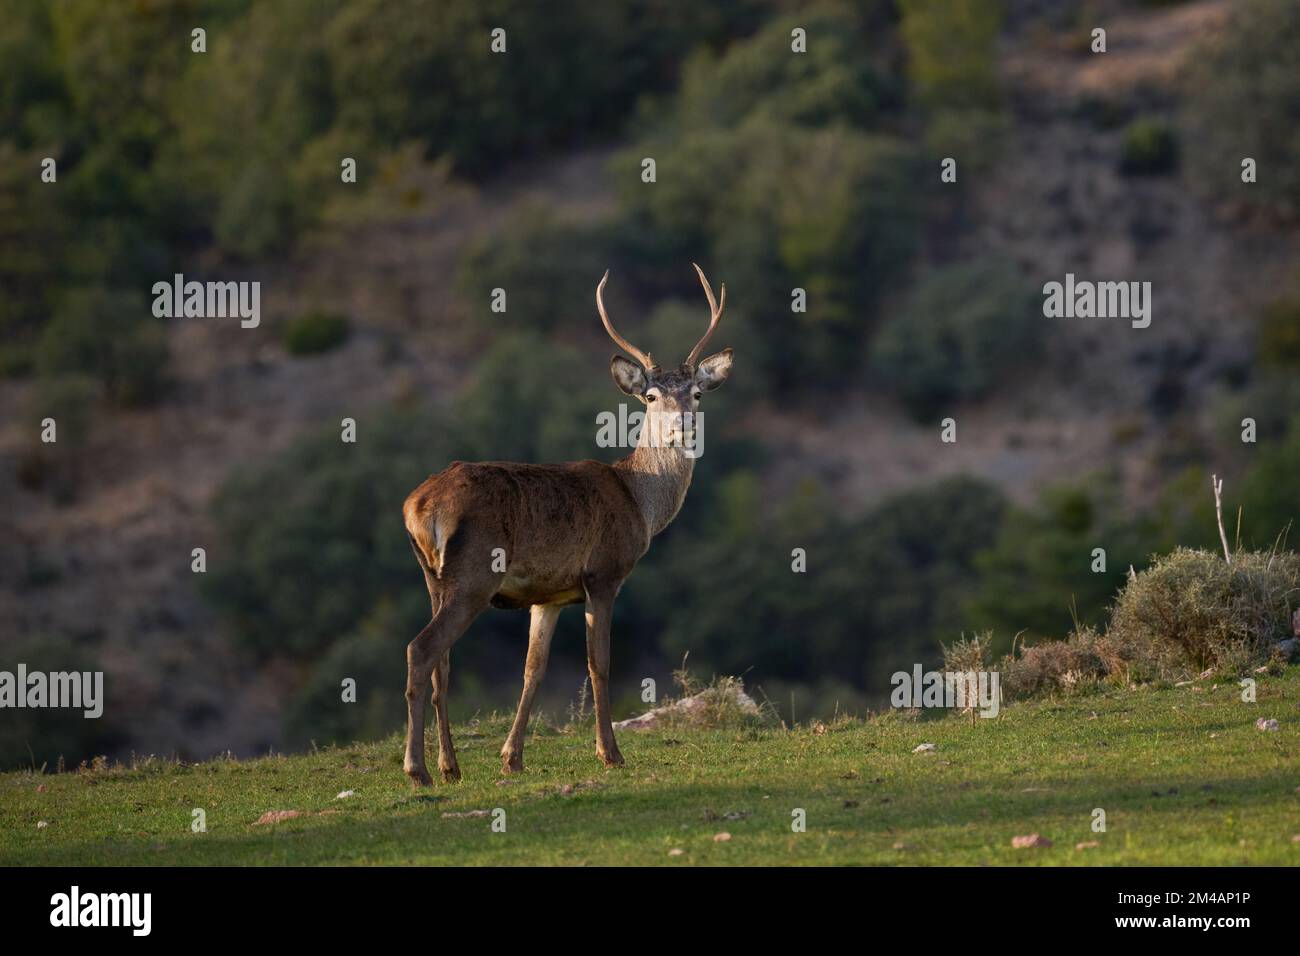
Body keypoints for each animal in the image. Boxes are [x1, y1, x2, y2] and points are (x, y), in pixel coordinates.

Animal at [400, 264, 733, 785]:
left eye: (696, 393)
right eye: (651, 395)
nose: (683, 426)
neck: (638, 501)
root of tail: (418, 505)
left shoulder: (549, 595)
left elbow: (533, 669)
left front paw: (512, 757)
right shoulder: (603, 573)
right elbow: (600, 664)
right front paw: (610, 753)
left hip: (431, 574)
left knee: (442, 662)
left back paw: (449, 765)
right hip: (475, 572)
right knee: (422, 649)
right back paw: (417, 769)